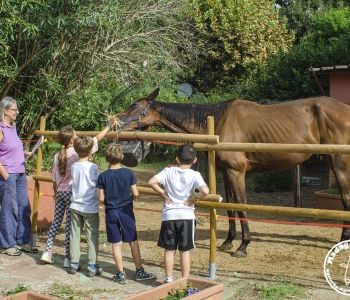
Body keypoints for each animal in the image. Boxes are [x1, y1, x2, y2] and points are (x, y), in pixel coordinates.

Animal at [116, 87, 350, 258]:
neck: (219, 122)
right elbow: (229, 207)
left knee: (345, 198)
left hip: (339, 163)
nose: (115, 120)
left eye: (134, 106)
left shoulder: (236, 173)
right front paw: (229, 241)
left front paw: (243, 246)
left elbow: (241, 207)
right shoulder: (226, 174)